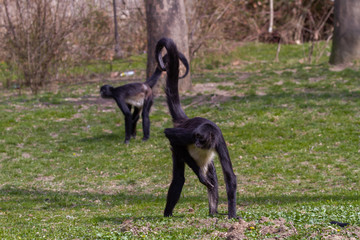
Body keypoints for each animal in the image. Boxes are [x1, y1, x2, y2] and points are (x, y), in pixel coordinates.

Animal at [155, 37, 238, 218]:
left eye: (202, 139)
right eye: (196, 138)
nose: (198, 143)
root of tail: (186, 120)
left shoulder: (219, 141)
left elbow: (229, 177)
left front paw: (232, 214)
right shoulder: (189, 135)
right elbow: (170, 134)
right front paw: (200, 177)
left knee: (213, 176)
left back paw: (213, 212)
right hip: (178, 150)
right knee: (179, 178)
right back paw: (168, 214)